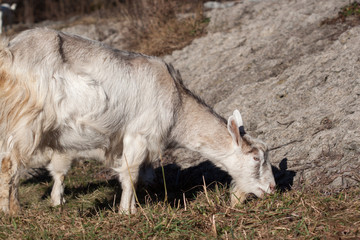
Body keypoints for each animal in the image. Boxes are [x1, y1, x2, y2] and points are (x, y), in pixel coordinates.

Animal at [0, 28, 276, 214]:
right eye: (255, 158)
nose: (272, 189)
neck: (177, 104)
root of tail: (9, 52)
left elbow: (136, 174)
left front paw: (131, 208)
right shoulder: (139, 134)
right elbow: (130, 174)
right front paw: (127, 212)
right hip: (25, 119)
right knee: (10, 164)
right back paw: (14, 212)